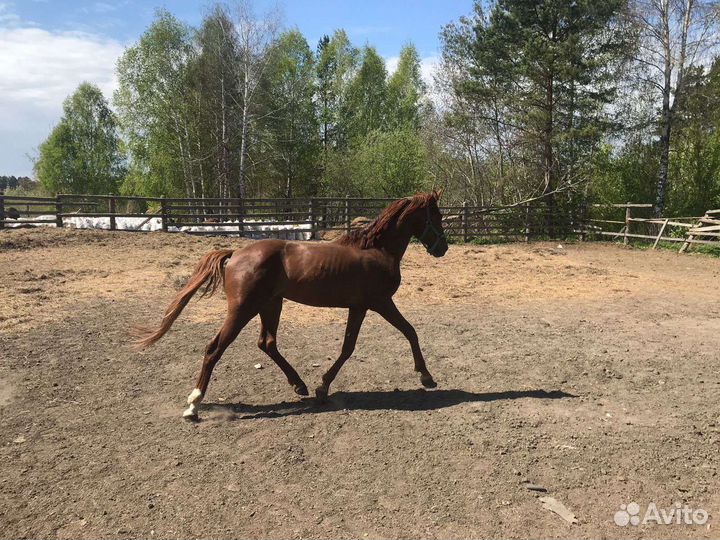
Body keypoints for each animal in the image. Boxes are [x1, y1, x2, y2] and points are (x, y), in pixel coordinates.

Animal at [133, 190, 449, 419]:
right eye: (437, 215)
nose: (442, 248)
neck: (377, 250)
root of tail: (235, 254)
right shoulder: (380, 302)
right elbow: (408, 332)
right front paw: (426, 377)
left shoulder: (359, 307)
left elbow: (350, 346)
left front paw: (322, 387)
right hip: (243, 309)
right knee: (215, 349)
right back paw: (193, 405)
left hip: (271, 305)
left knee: (267, 343)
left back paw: (299, 385)